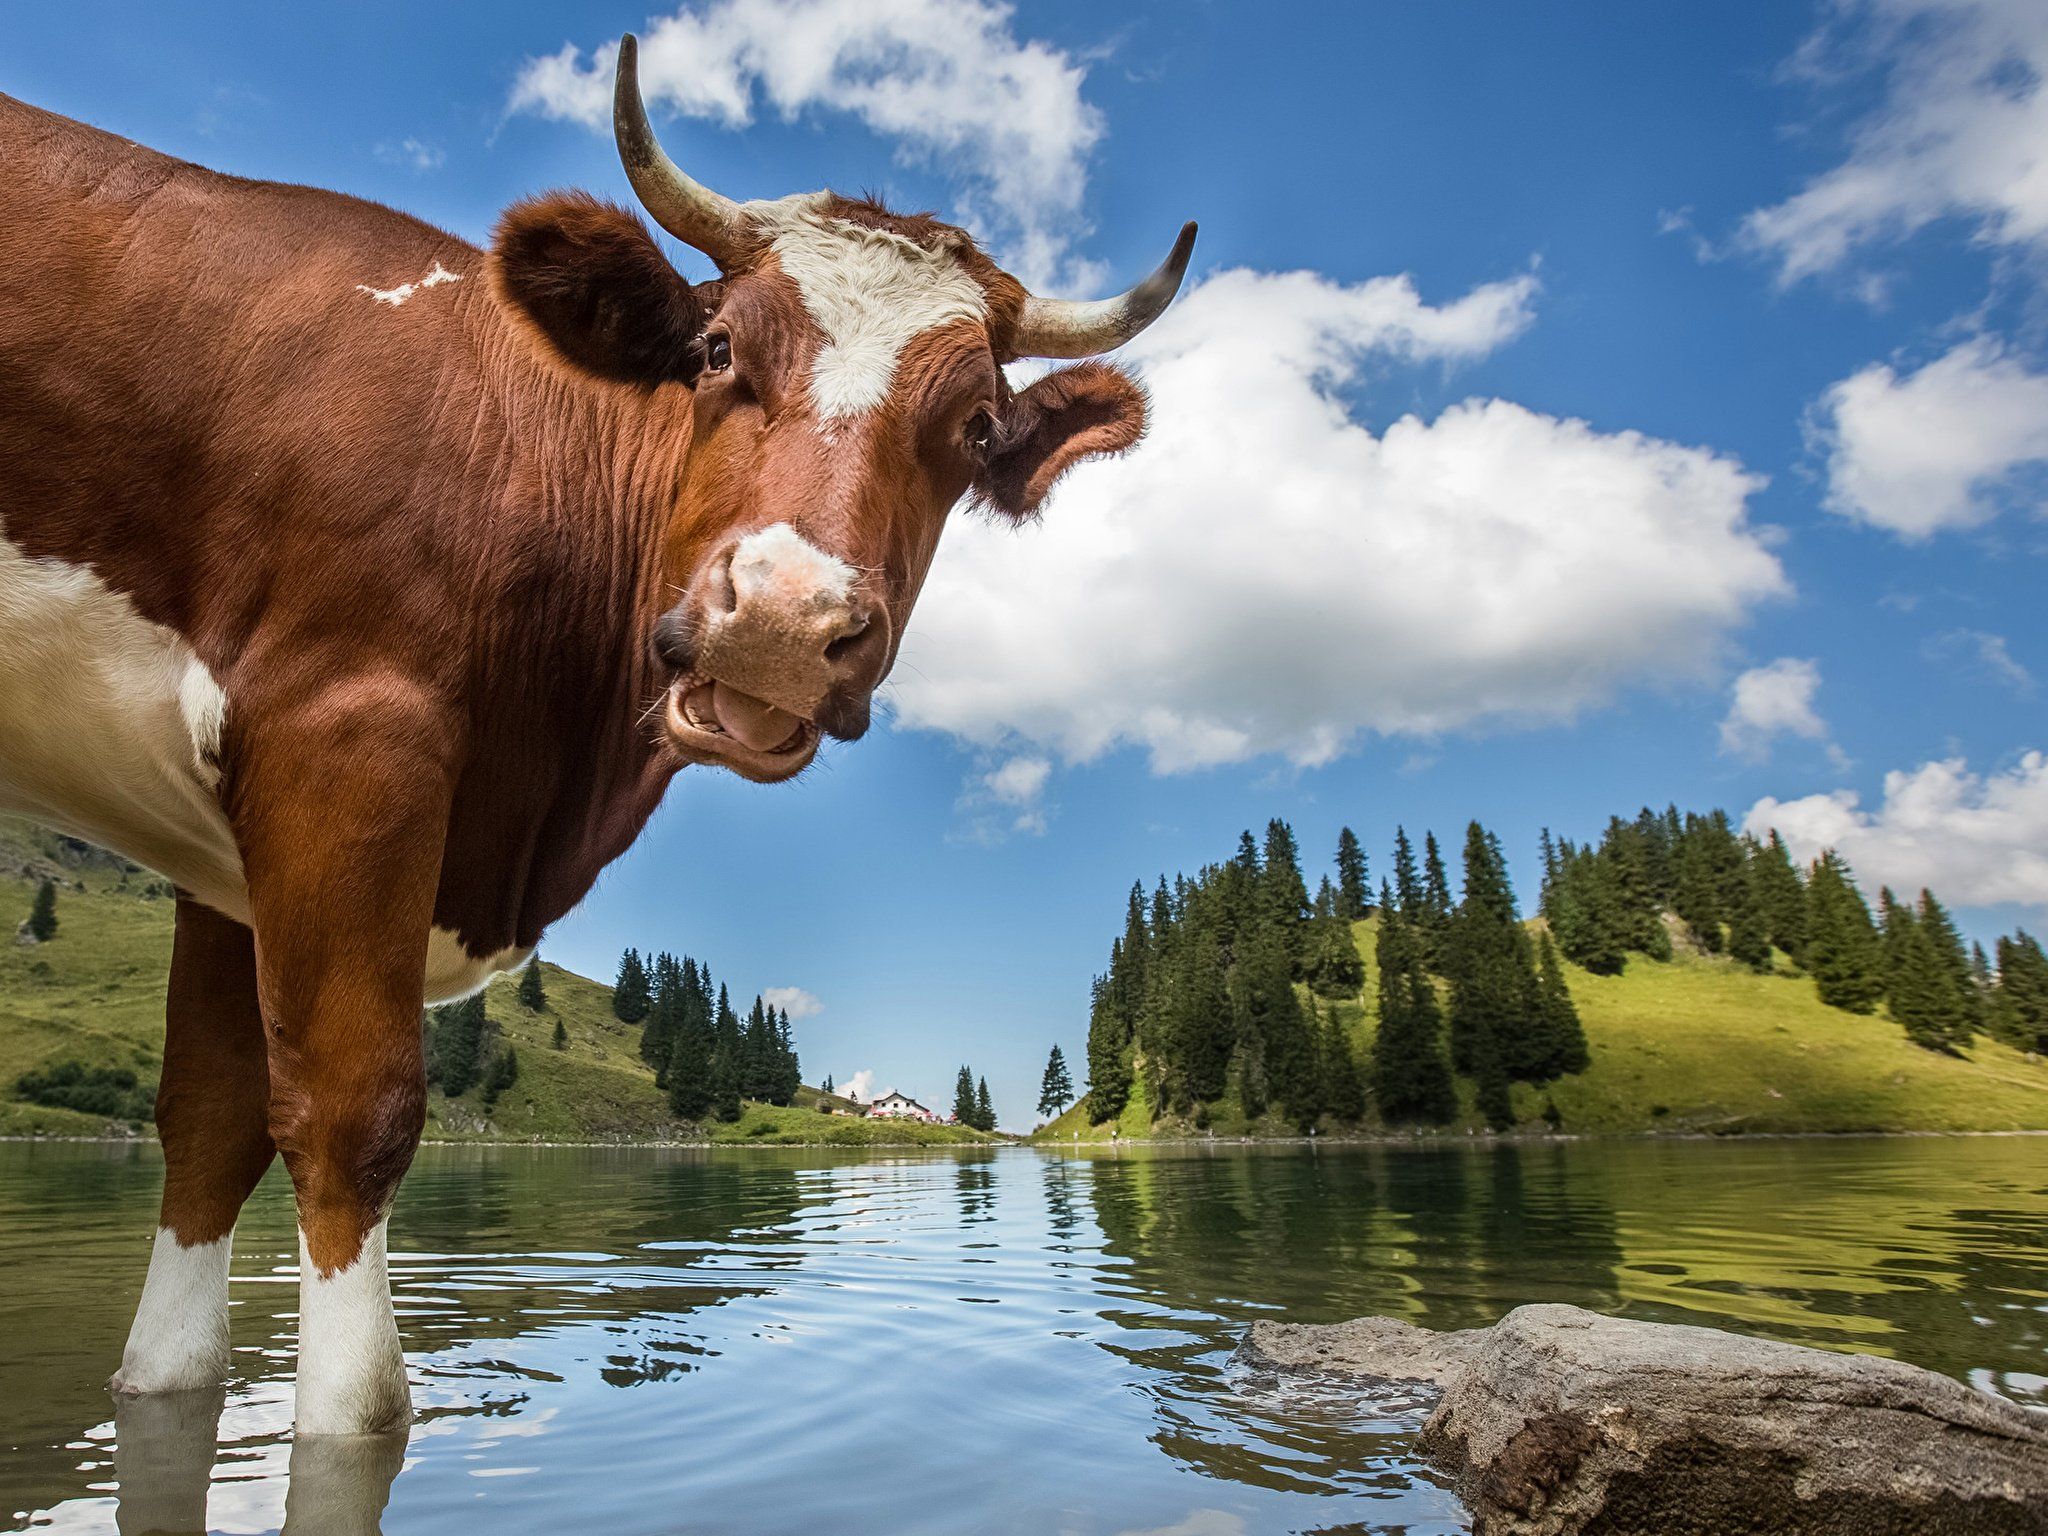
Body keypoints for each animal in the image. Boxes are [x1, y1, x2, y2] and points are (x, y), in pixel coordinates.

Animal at [0, 39, 1196, 1441]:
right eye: (719, 348)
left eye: (973, 433)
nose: (782, 621)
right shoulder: (340, 734)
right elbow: (351, 1128)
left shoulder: (225, 862)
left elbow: (204, 1134)